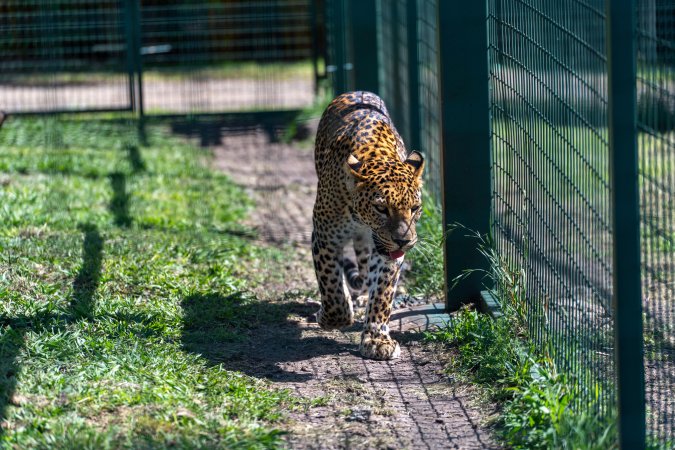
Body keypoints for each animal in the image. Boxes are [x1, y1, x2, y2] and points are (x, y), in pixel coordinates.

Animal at [312, 91, 424, 360]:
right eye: (381, 208)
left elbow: (383, 294)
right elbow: (331, 286)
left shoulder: (386, 254)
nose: (403, 241)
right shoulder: (324, 237)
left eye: (415, 208)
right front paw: (329, 317)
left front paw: (376, 339)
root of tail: (357, 92)